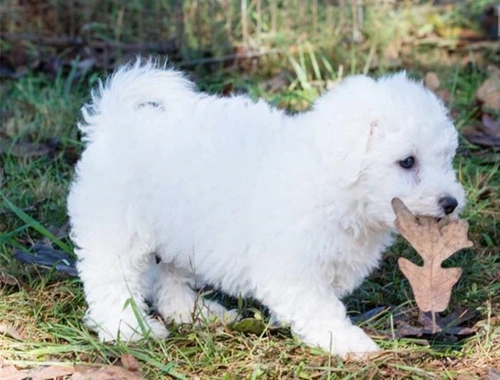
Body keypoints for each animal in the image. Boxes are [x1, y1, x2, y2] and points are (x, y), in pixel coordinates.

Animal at [66, 60, 464, 358]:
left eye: (446, 158)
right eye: (407, 161)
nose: (451, 203)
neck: (330, 180)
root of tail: (115, 122)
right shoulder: (292, 269)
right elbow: (320, 308)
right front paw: (349, 342)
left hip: (184, 233)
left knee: (170, 280)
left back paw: (198, 314)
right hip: (117, 229)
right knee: (113, 283)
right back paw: (130, 331)